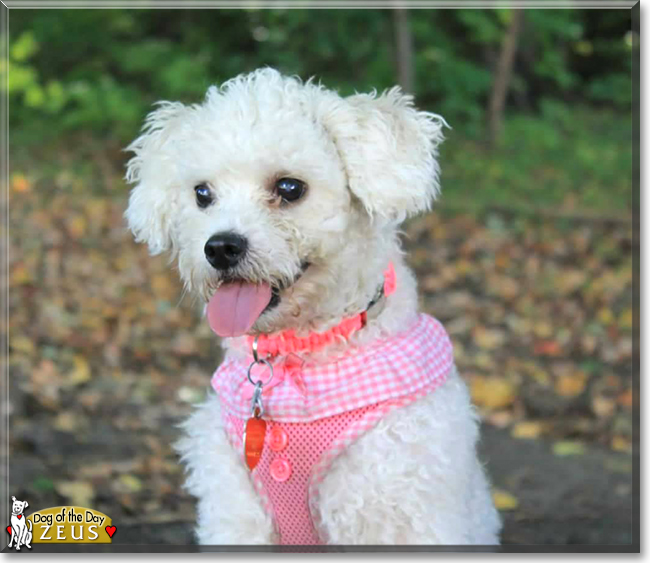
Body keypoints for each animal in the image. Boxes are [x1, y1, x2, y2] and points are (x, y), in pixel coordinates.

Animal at [124, 68, 498, 548]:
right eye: (202, 193)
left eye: (289, 188)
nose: (220, 247)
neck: (296, 357)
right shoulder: (236, 513)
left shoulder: (395, 502)